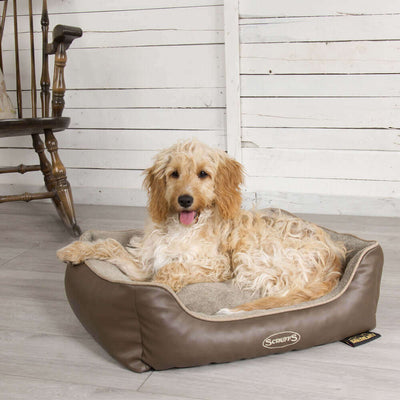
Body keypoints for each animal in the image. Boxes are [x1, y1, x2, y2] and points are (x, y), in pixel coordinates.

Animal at [57, 139, 346, 314]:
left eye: (203, 174)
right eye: (174, 174)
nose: (185, 200)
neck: (182, 228)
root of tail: (335, 258)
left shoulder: (218, 265)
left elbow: (172, 269)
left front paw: (160, 293)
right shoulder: (143, 266)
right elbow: (111, 244)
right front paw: (74, 250)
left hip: (250, 258)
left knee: (283, 293)